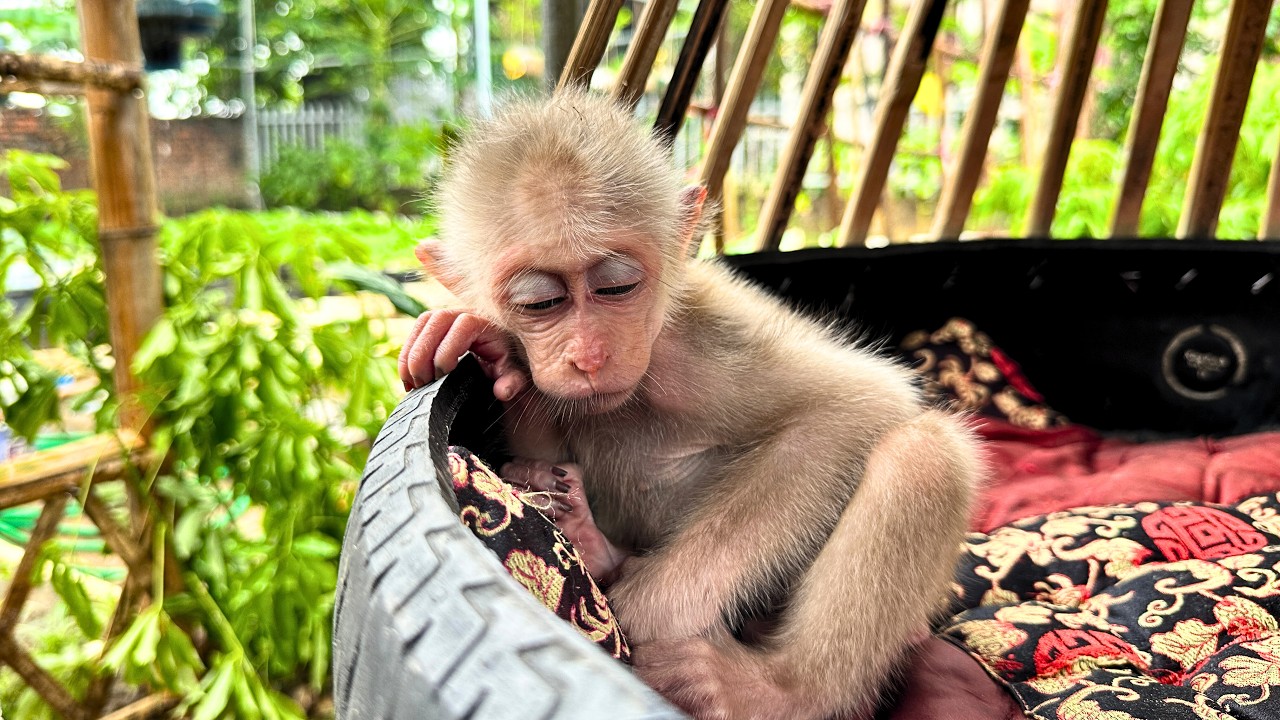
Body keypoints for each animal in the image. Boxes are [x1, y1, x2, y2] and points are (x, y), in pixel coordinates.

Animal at [398, 88, 981, 720]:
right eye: (540, 304)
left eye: (616, 288)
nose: (590, 355)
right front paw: (481, 344)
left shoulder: (702, 346)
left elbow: (851, 407)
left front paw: (643, 610)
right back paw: (593, 542)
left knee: (922, 453)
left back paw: (779, 691)